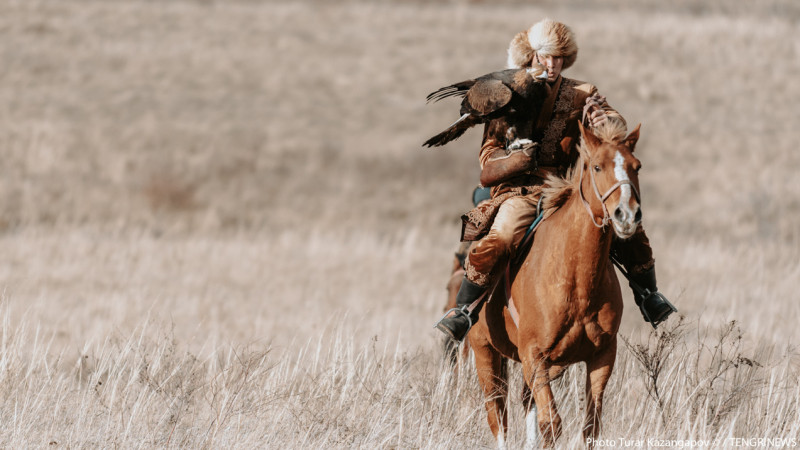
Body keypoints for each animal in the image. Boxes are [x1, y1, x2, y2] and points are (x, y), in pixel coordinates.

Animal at [468, 121, 644, 448]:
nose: (627, 215)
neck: (577, 282)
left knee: (525, 404)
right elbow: (551, 423)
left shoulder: (602, 356)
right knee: (497, 414)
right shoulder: (534, 356)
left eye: (636, 166)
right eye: (597, 166)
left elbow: (590, 427)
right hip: (484, 351)